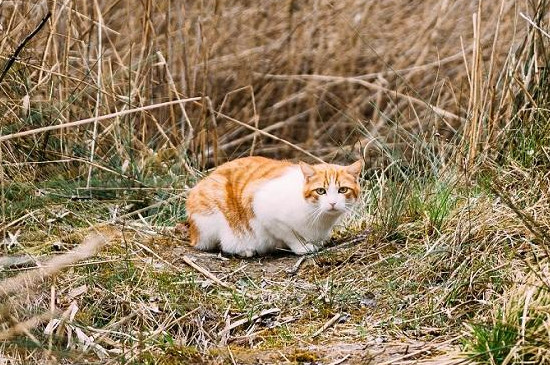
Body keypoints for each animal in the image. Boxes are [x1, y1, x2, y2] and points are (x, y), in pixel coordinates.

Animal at [188, 156, 364, 256]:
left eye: (343, 190)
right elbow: (290, 234)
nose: (333, 203)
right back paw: (245, 250)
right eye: (321, 191)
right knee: (225, 245)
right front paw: (302, 247)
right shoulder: (263, 208)